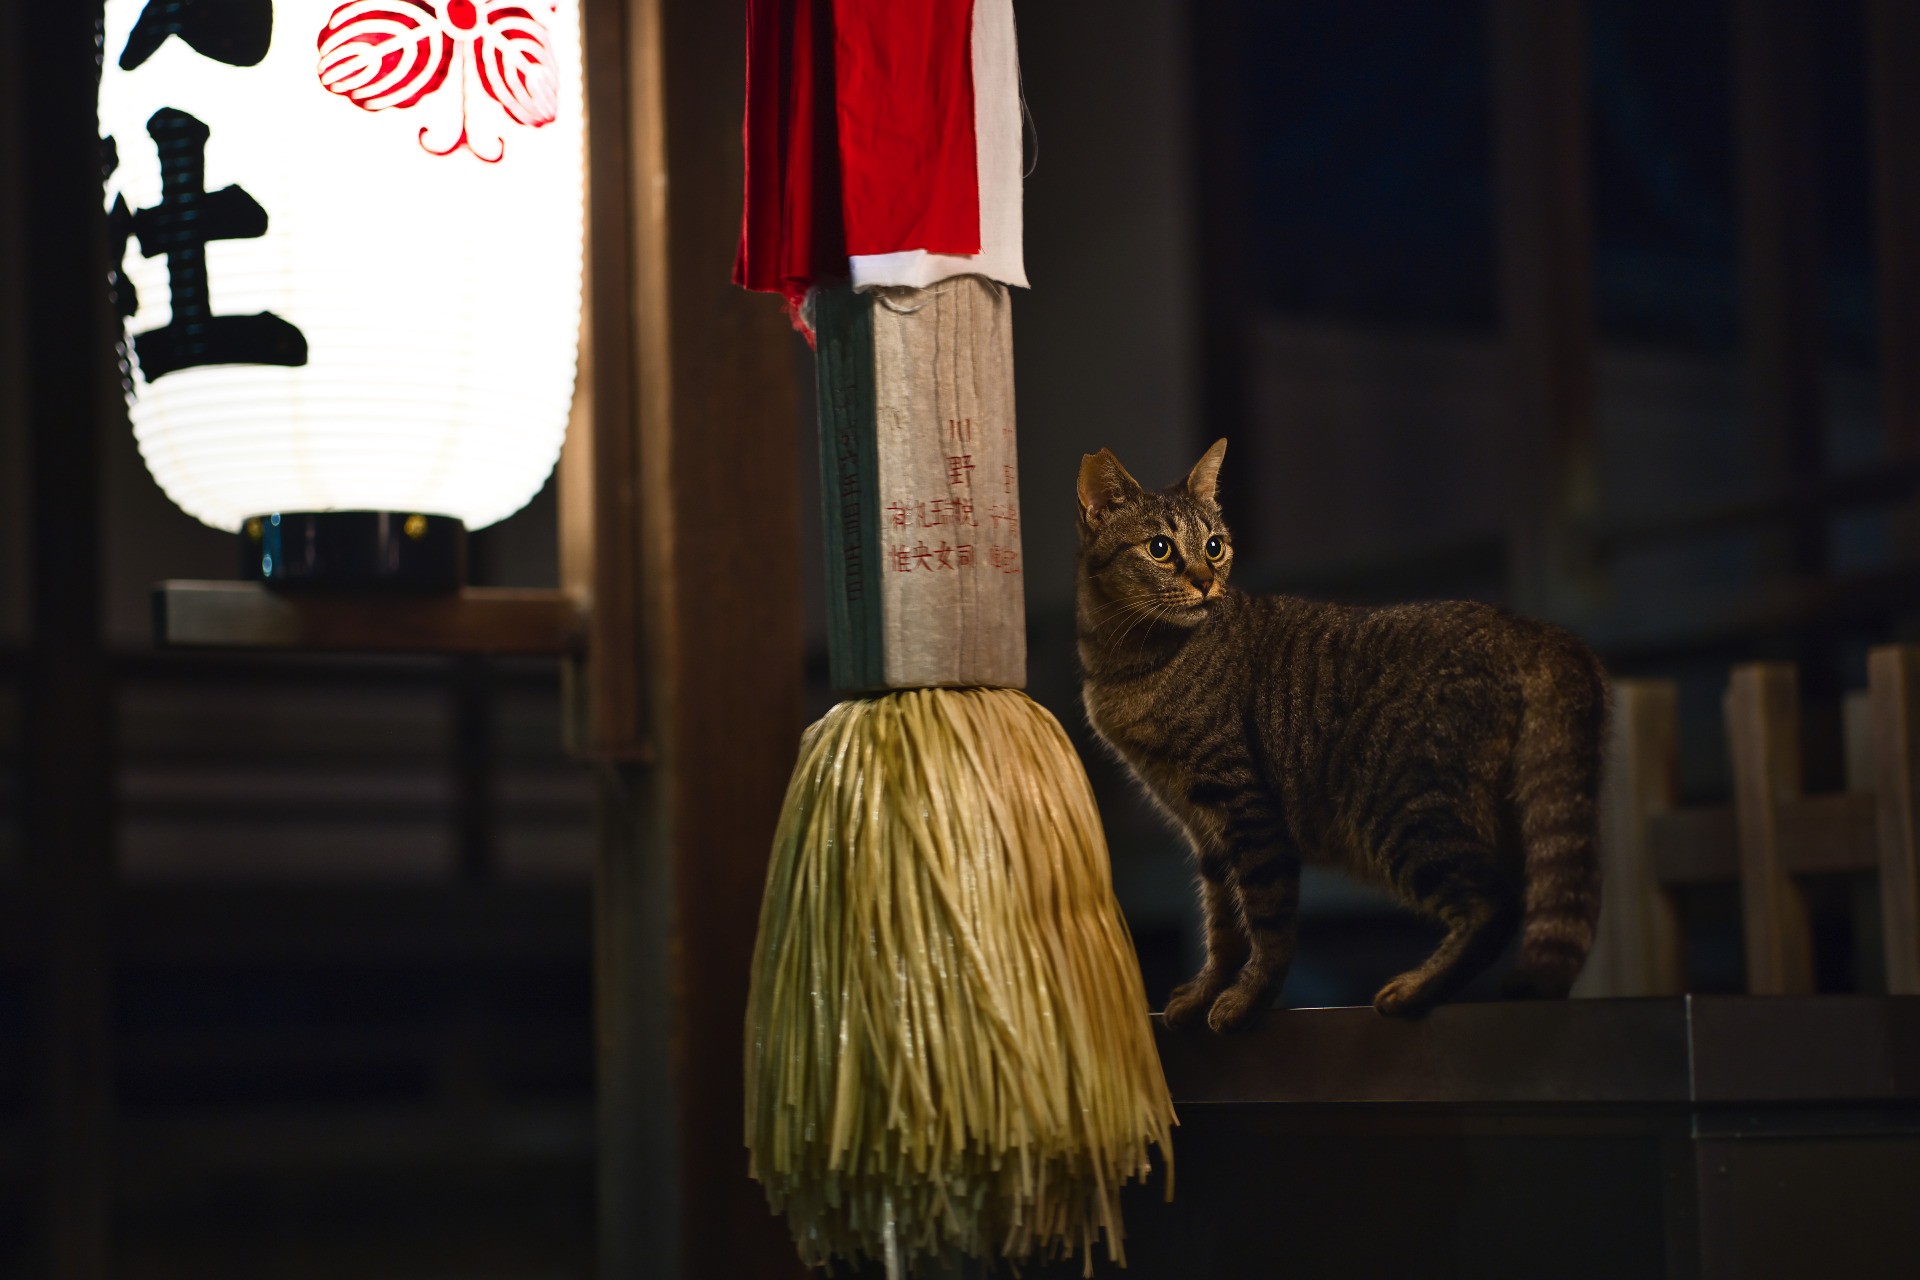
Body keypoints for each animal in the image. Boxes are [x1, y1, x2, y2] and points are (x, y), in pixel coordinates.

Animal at [1082, 443, 1605, 1028]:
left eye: (1214, 547)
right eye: (1160, 548)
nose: (1204, 581)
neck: (1126, 663)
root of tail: (1537, 630)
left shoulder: (1246, 810)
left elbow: (1267, 924)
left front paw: (1246, 999)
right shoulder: (1207, 833)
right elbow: (1222, 928)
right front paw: (1203, 993)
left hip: (1404, 810)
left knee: (1495, 906)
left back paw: (1416, 988)